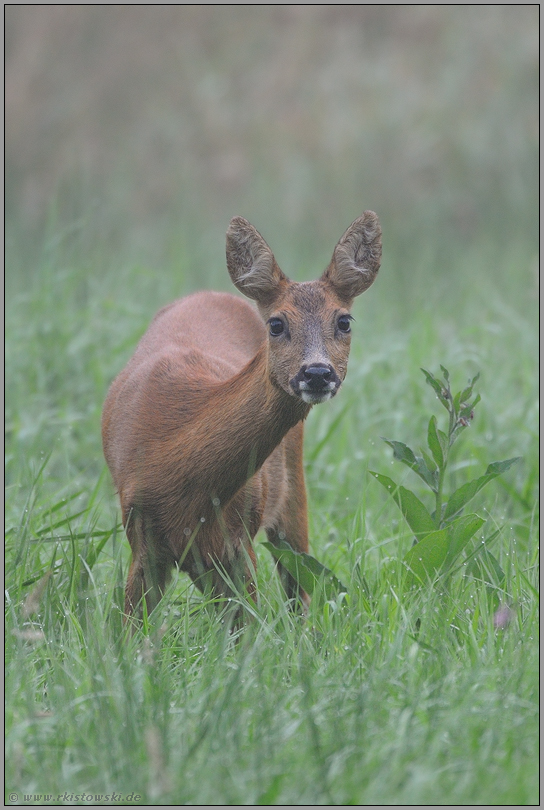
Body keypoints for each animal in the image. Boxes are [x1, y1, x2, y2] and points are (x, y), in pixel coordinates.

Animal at [103, 211, 382, 616]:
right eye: (277, 323)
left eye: (344, 321)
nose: (317, 373)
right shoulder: (142, 537)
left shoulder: (238, 539)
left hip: (291, 490)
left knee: (299, 588)